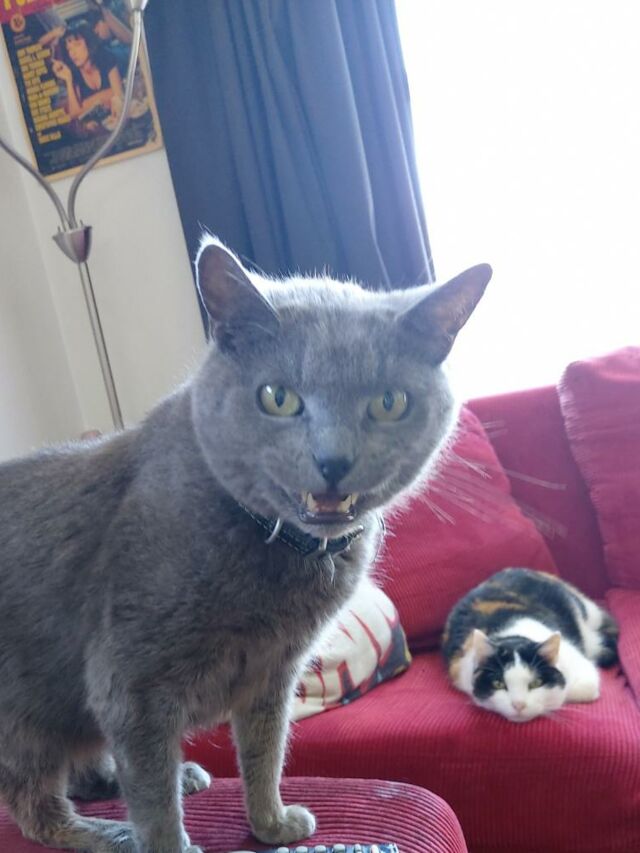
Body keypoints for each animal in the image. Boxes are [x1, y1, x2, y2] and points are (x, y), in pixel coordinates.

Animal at [0, 236, 491, 853]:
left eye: (389, 402)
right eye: (277, 398)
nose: (333, 460)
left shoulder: (274, 674)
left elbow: (265, 751)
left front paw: (271, 823)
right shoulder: (130, 685)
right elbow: (153, 796)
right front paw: (167, 842)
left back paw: (172, 776)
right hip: (24, 721)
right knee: (37, 810)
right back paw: (115, 833)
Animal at [443, 567, 619, 722]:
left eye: (536, 683)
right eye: (499, 684)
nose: (519, 705)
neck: (514, 634)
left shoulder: (583, 671)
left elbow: (573, 690)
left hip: (588, 618)